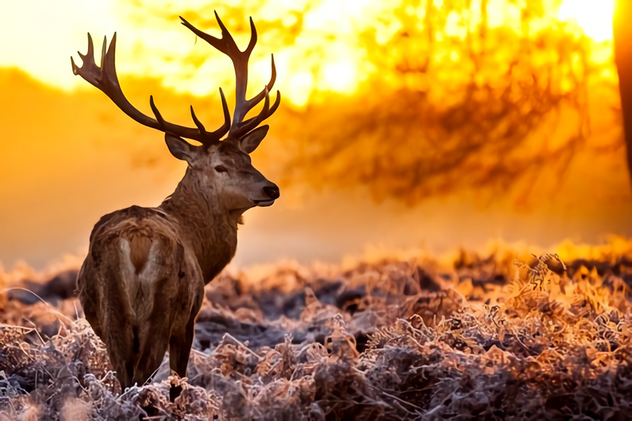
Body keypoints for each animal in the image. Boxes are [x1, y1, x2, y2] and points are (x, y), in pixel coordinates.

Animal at [70, 11, 280, 388]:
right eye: (220, 166)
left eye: (249, 159)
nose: (271, 189)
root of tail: (137, 241)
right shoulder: (189, 319)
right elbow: (178, 382)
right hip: (163, 309)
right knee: (143, 376)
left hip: (112, 316)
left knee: (125, 376)